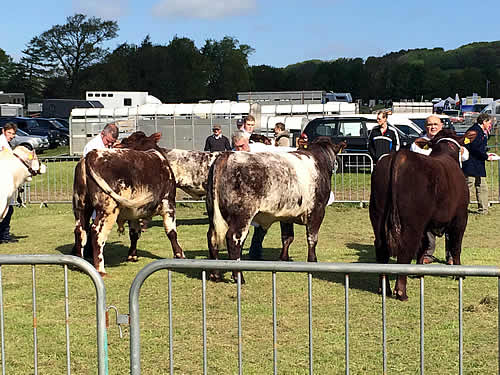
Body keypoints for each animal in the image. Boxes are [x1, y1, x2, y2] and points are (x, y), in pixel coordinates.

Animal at [72, 147, 184, 276]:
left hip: (81, 207)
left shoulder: (134, 213)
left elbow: (134, 233)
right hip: (108, 210)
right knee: (97, 232)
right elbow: (171, 233)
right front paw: (179, 254)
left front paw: (132, 255)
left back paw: (79, 263)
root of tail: (92, 154)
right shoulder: (168, 206)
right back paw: (100, 270)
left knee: (80, 230)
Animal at [205, 137, 346, 284]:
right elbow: (312, 238)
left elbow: (287, 238)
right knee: (234, 238)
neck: (319, 161)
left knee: (212, 237)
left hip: (212, 213)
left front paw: (283, 259)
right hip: (242, 215)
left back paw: (215, 274)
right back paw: (239, 276)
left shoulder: (287, 215)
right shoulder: (317, 210)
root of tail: (226, 155)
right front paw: (313, 261)